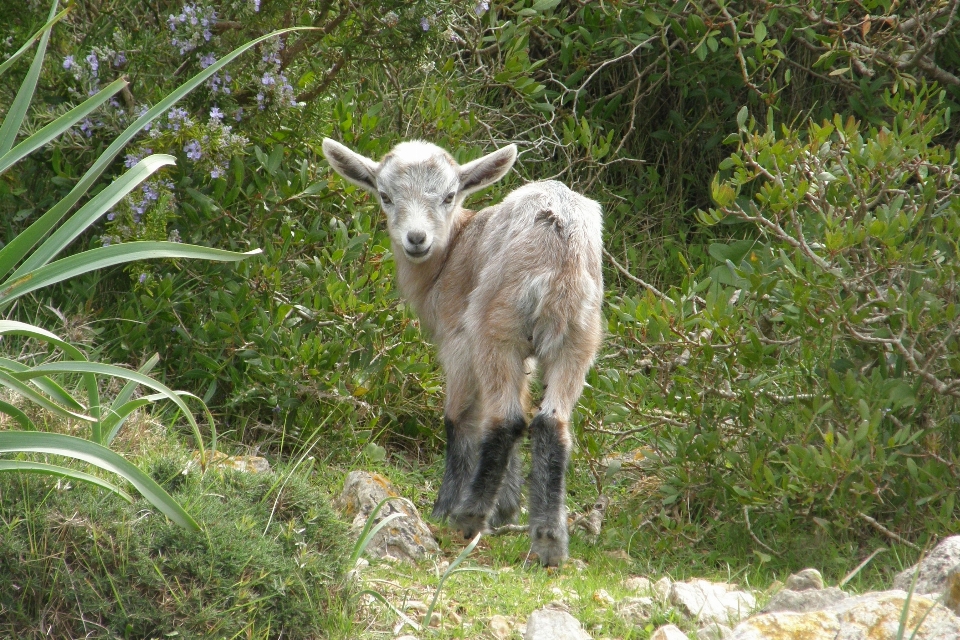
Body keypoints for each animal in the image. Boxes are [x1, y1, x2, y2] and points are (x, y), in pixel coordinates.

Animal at [326, 139, 604, 564]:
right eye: (386, 196)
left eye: (448, 196)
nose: (416, 238)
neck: (452, 251)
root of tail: (558, 254)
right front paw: (508, 509)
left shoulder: (458, 339)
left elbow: (459, 418)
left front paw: (446, 508)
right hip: (578, 336)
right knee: (549, 422)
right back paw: (549, 540)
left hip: (495, 326)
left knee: (505, 420)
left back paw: (468, 516)